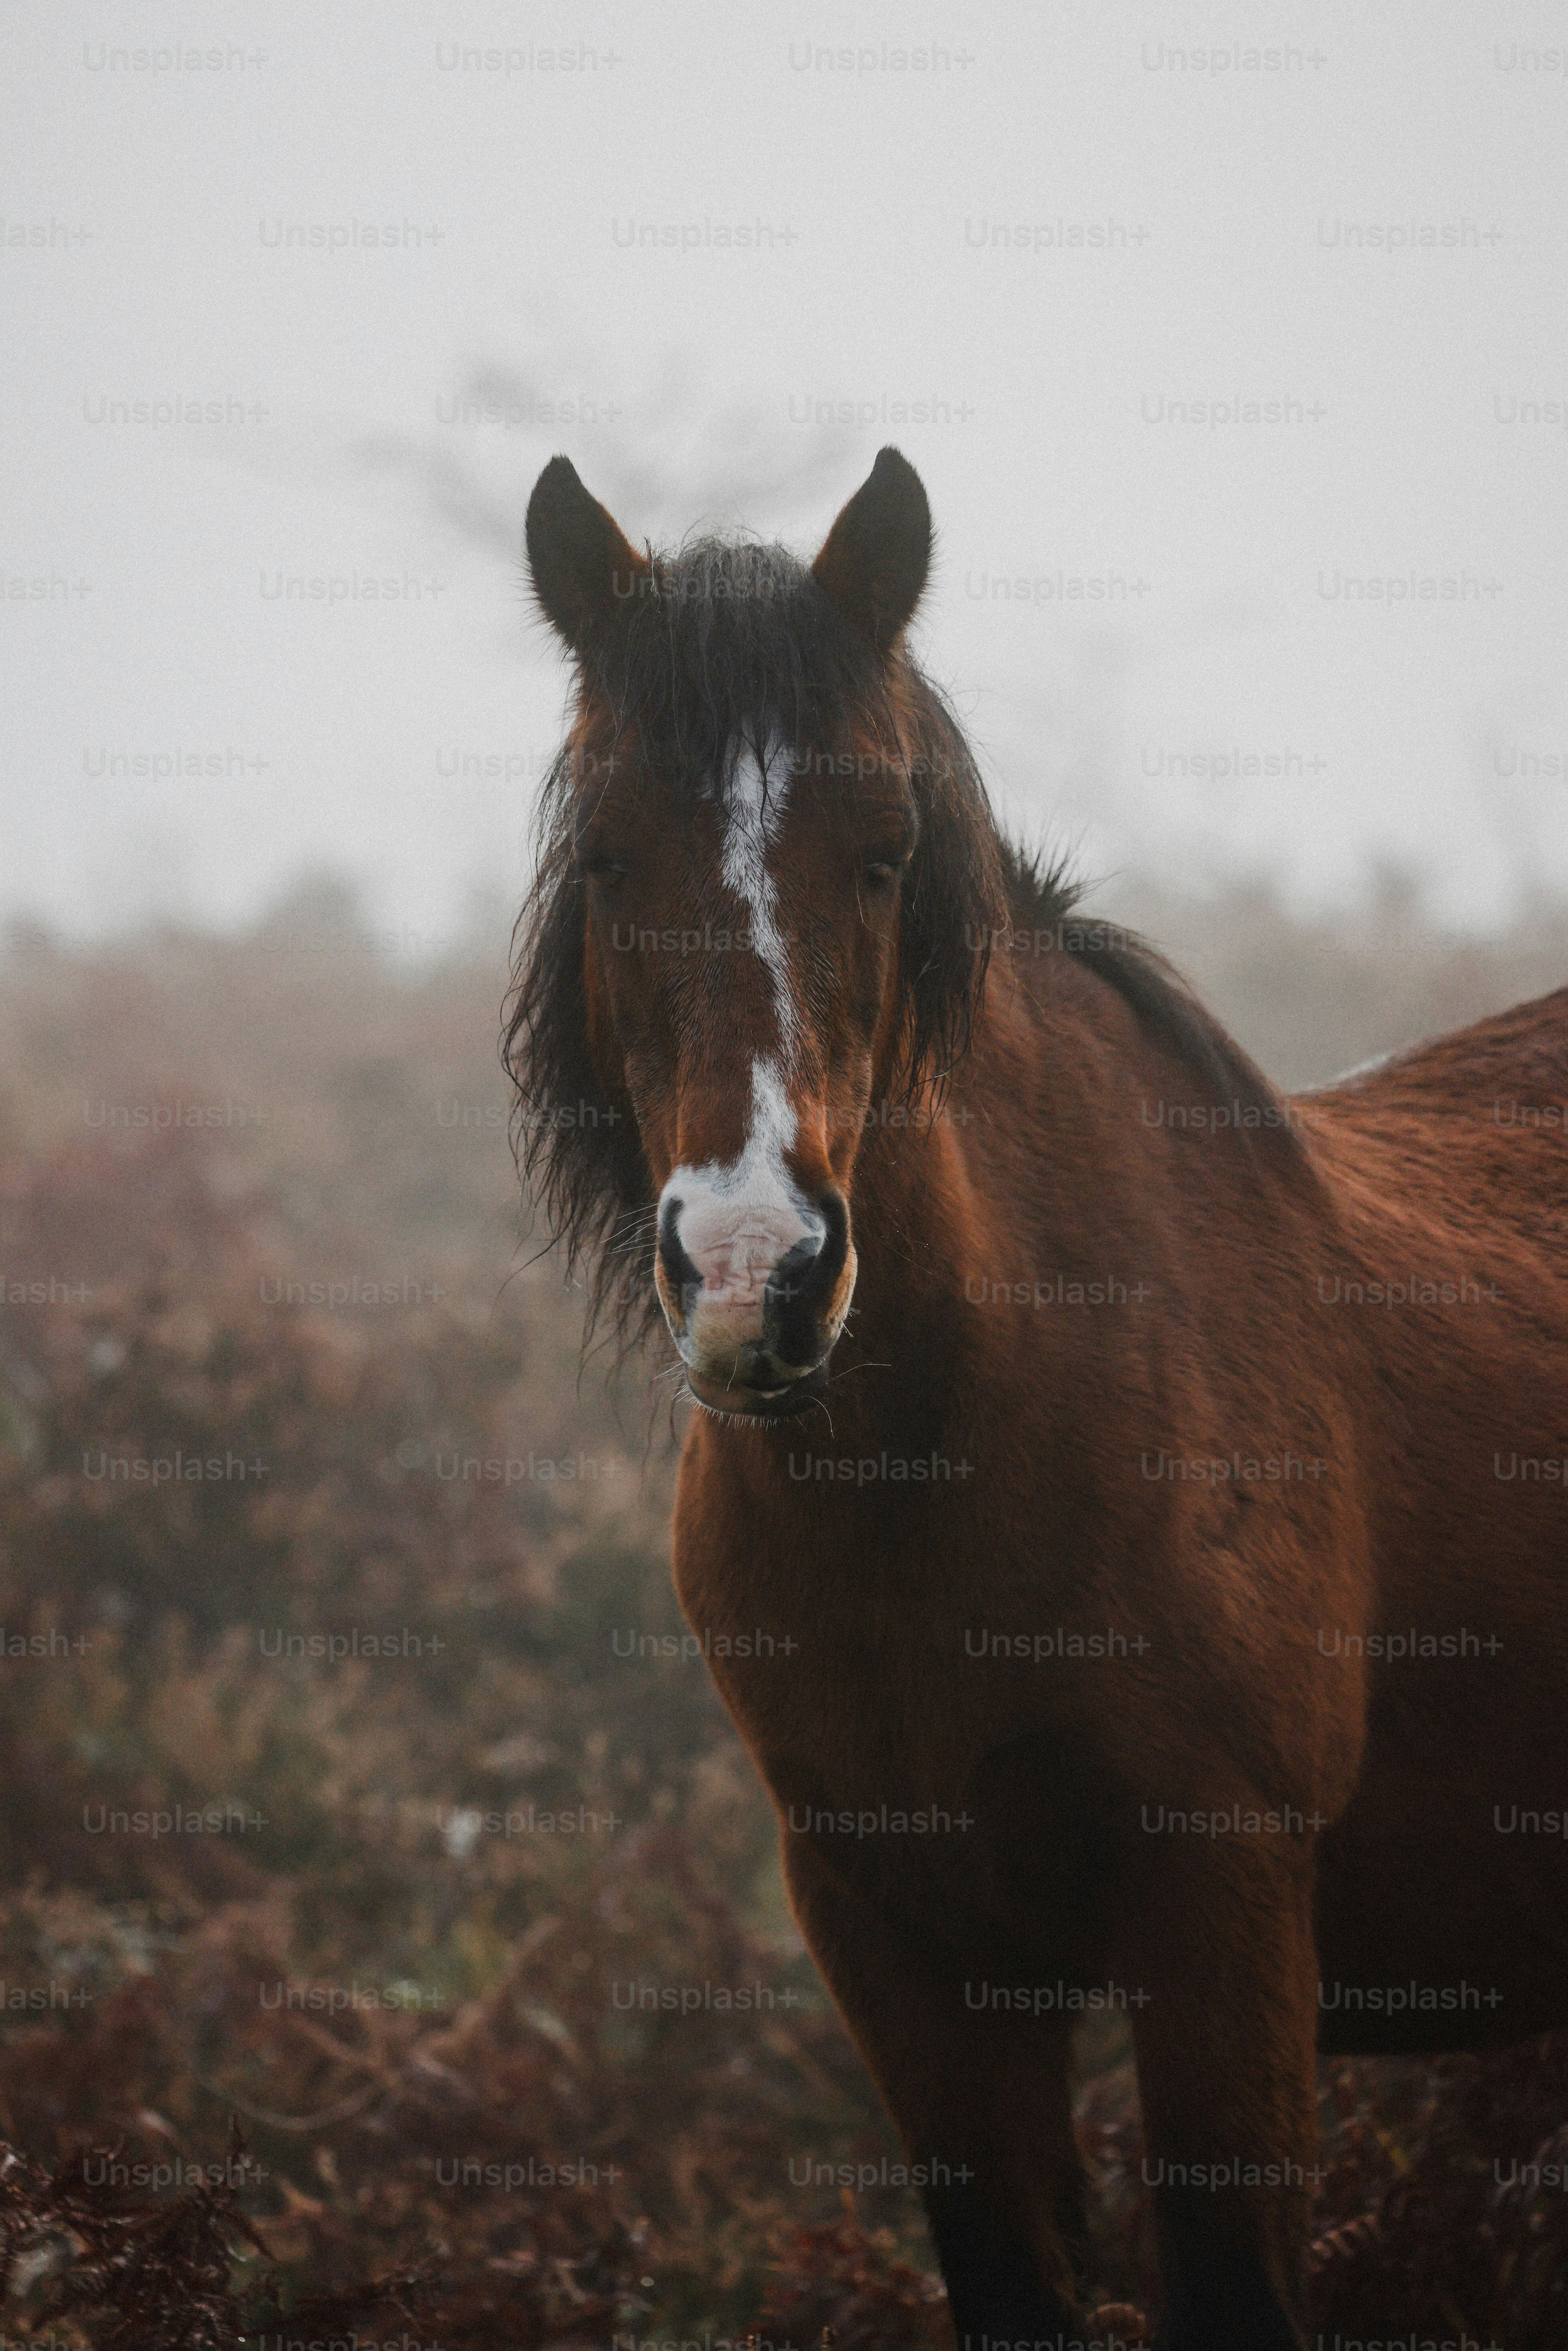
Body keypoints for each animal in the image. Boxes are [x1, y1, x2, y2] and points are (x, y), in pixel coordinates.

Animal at [506, 446, 1568, 2350]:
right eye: (610, 851)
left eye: (885, 855)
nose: (757, 1276)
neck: (949, 1465)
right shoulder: (898, 1943)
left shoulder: (1221, 1920)